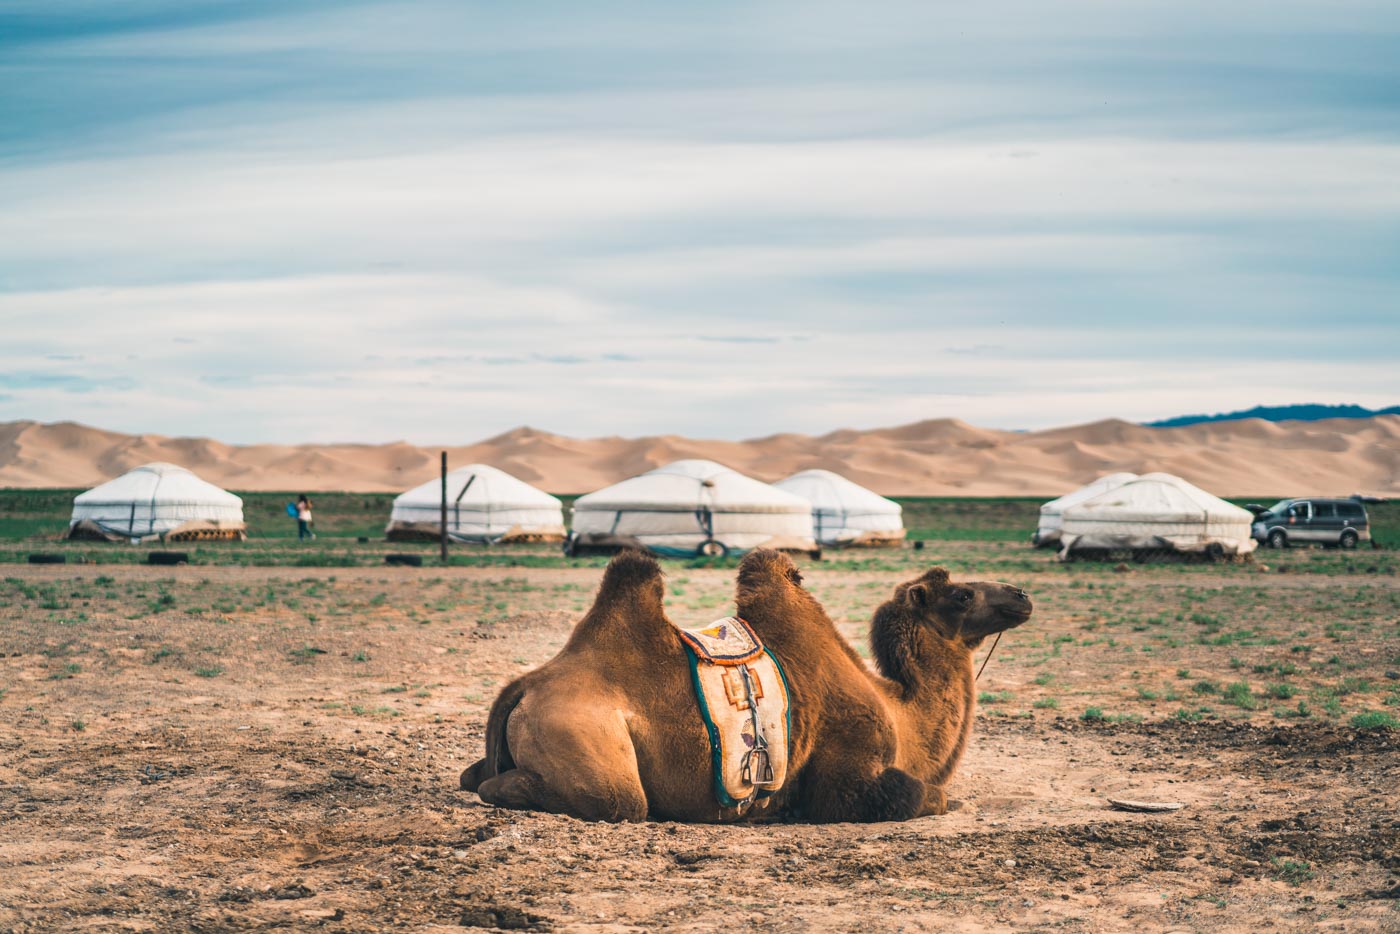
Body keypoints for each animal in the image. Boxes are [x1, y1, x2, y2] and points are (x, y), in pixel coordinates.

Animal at [459, 551, 1030, 823]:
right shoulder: (849, 776)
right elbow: (922, 794)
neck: (898, 711)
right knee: (615, 800)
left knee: (472, 775)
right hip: (590, 747)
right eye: (961, 595)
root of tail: (525, 686)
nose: (1021, 595)